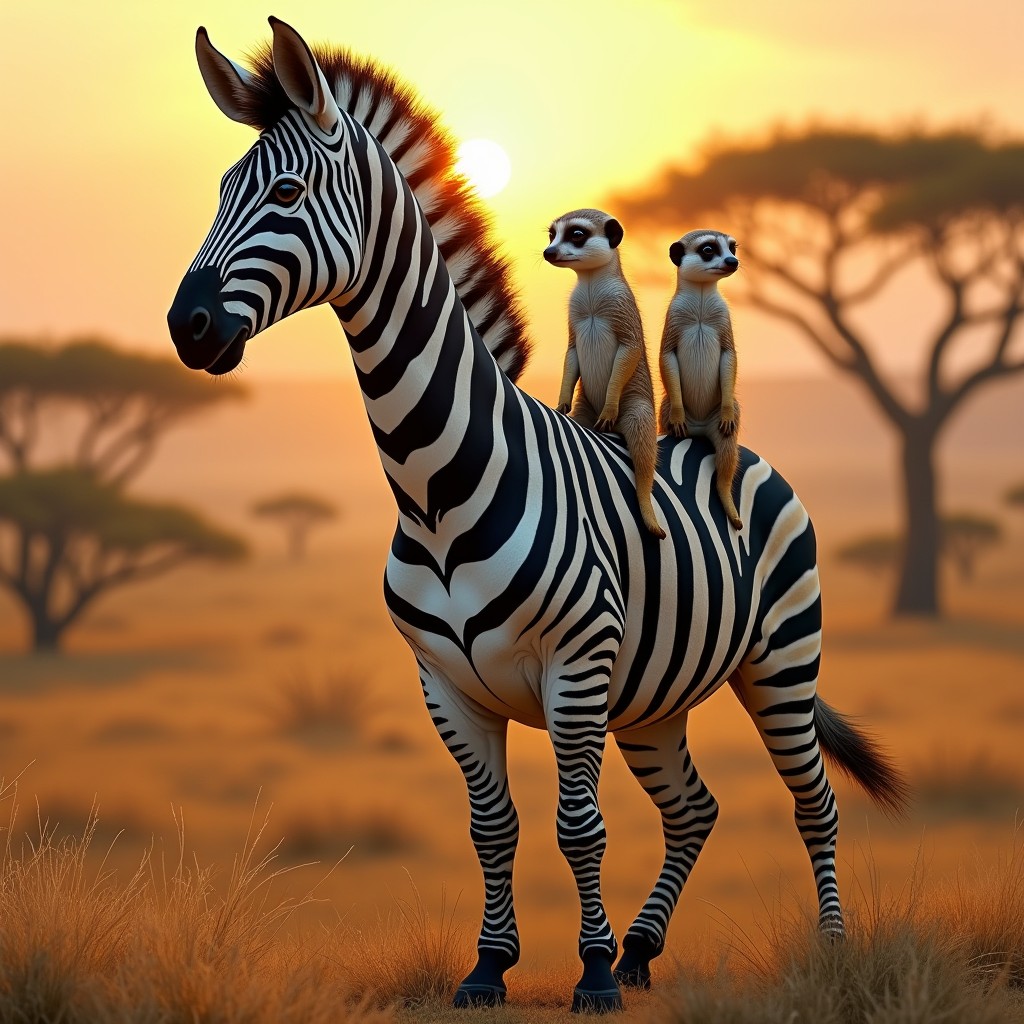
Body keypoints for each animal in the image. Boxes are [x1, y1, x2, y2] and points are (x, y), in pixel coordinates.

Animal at [167, 19, 908, 1013]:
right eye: (218, 192)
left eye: (285, 193)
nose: (188, 327)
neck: (436, 487)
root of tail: (713, 441)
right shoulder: (444, 683)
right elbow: (494, 827)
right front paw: (491, 967)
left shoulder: (576, 668)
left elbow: (578, 824)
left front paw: (587, 974)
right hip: (654, 699)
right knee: (694, 808)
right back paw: (641, 951)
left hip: (781, 660)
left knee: (812, 803)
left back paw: (824, 952)